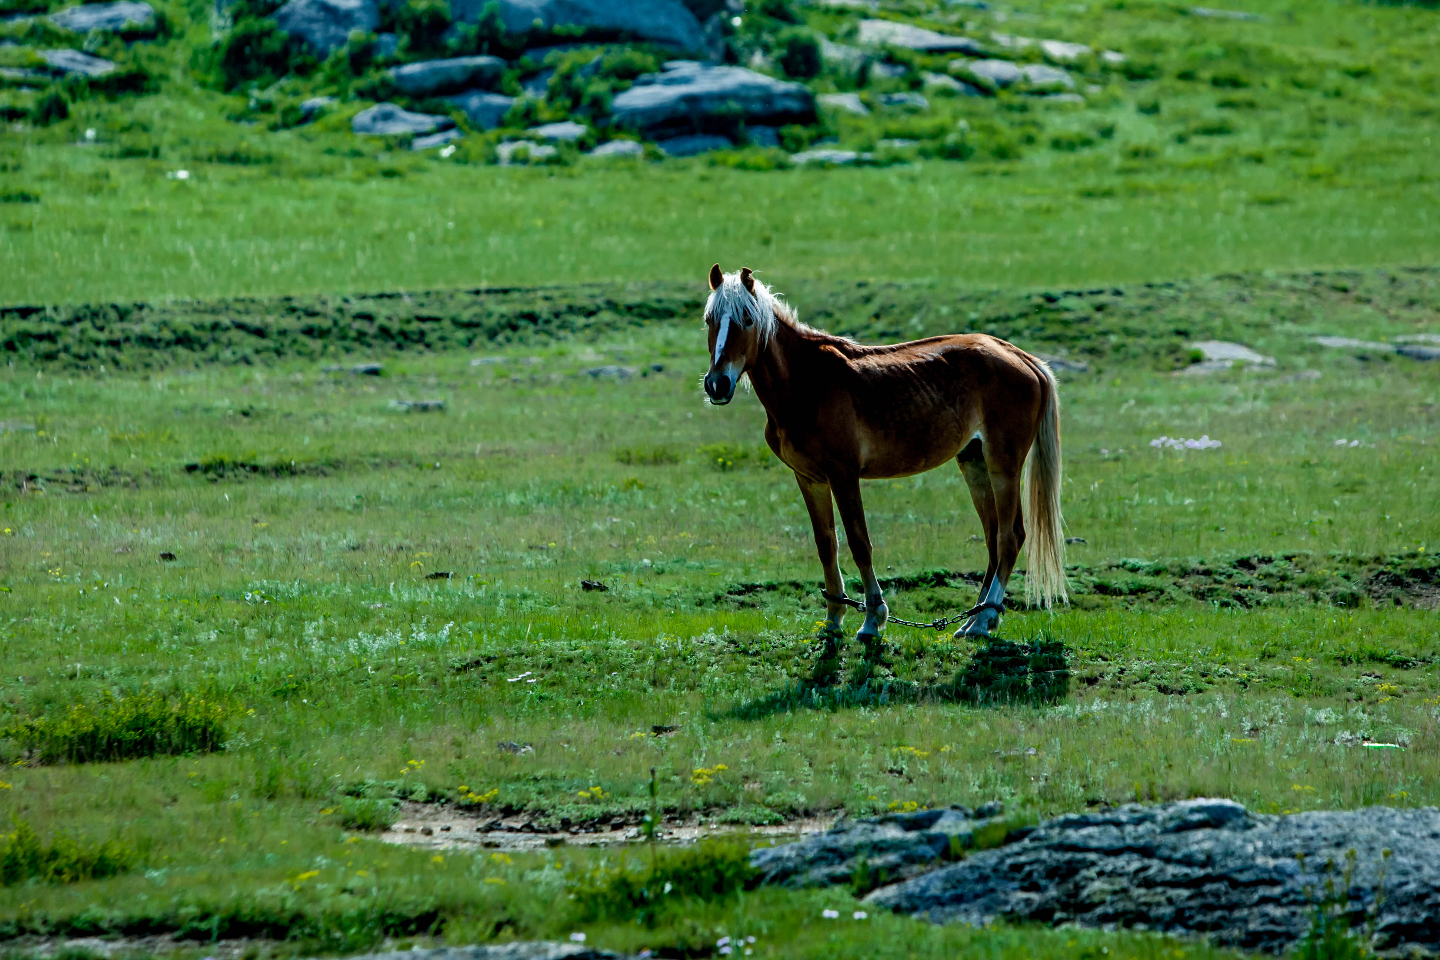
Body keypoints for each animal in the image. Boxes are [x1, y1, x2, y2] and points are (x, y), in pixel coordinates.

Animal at [702, 266, 1065, 650]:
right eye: (710, 319)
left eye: (746, 319)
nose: (717, 384)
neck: (806, 383)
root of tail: (1023, 359)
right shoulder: (810, 479)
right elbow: (826, 544)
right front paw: (833, 620)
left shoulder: (843, 475)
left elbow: (859, 543)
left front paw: (872, 620)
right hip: (974, 464)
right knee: (994, 541)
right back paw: (972, 620)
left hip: (1003, 467)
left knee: (1010, 537)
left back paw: (985, 620)